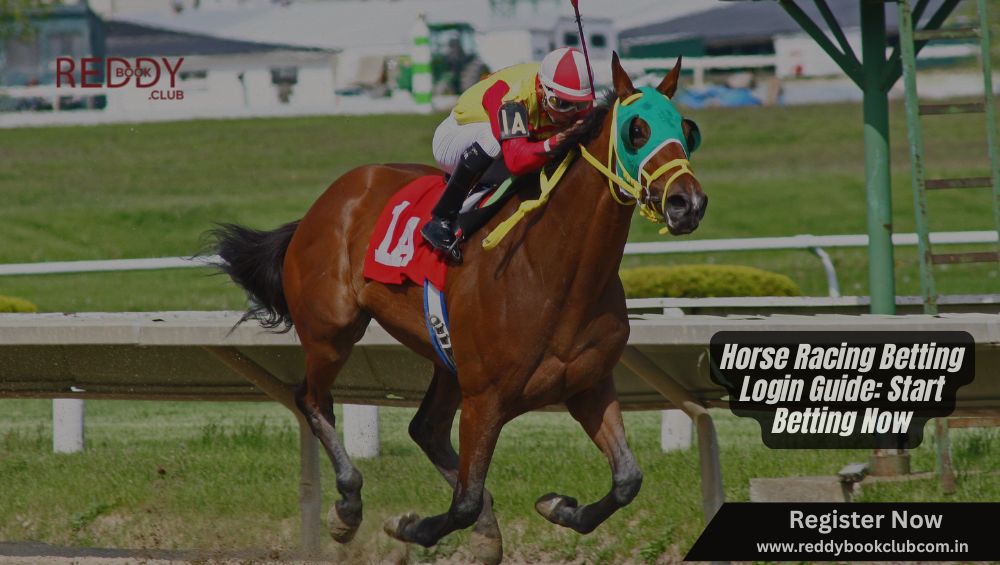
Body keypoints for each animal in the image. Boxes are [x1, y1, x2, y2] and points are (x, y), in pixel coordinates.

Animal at [212, 54, 706, 563]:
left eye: (688, 130)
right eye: (636, 130)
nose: (686, 202)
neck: (554, 272)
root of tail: (327, 201)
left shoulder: (589, 386)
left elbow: (627, 480)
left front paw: (557, 506)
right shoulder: (486, 397)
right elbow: (464, 501)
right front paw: (411, 526)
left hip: (446, 359)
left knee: (425, 429)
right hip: (331, 332)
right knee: (312, 400)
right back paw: (347, 506)